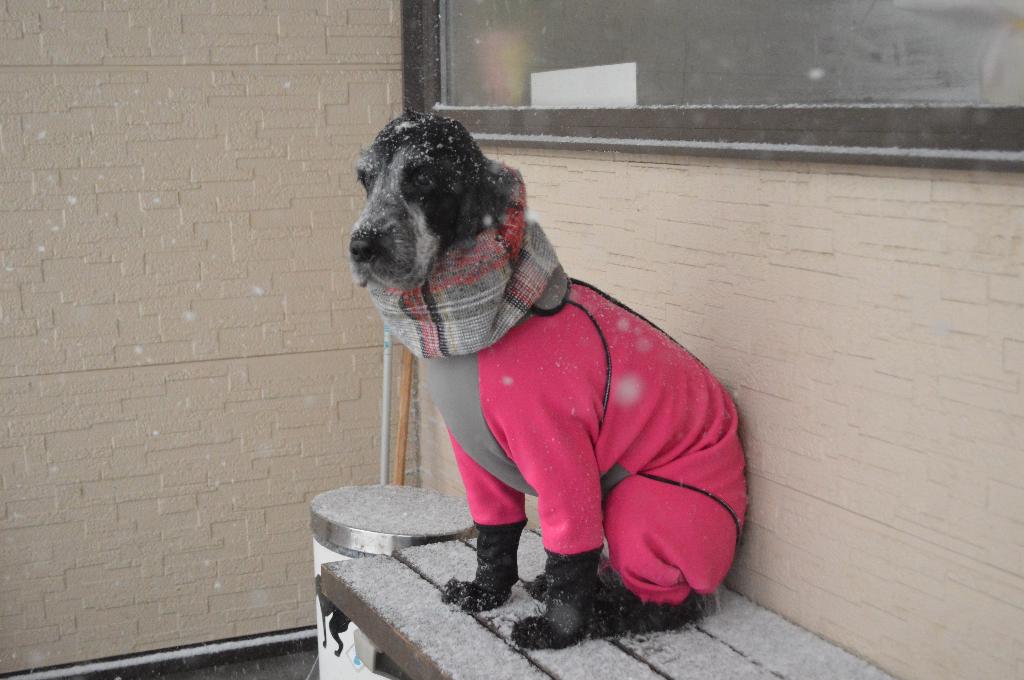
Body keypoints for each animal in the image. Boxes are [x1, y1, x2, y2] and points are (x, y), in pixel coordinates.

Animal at [351, 111, 747, 650]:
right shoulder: (475, 458)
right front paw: (485, 594)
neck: (480, 324)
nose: (361, 245)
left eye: (425, 178)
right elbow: (495, 534)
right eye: (365, 178)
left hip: (645, 506)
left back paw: (606, 615)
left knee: (674, 602)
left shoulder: (558, 450)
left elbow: (569, 552)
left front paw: (556, 630)